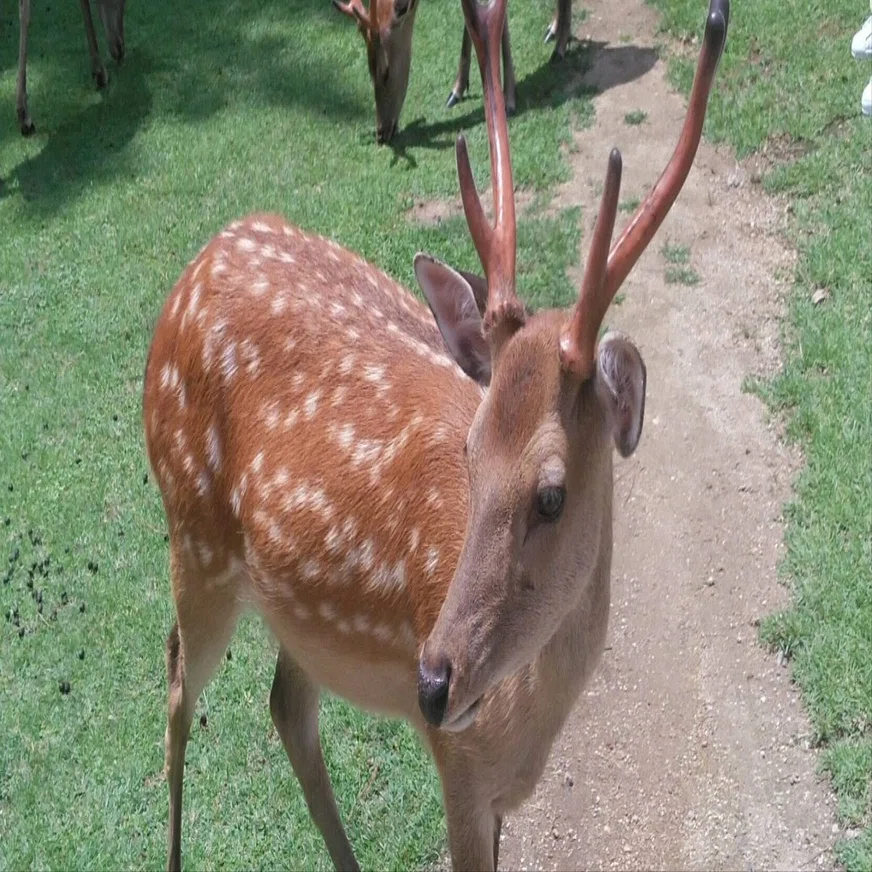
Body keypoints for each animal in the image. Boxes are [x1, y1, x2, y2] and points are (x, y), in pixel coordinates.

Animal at [333, 0, 574, 143]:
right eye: (368, 70)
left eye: (385, 71)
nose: (381, 132)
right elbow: (471, 15)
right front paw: (457, 90)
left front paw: (509, 99)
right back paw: (555, 29)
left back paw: (560, 46)